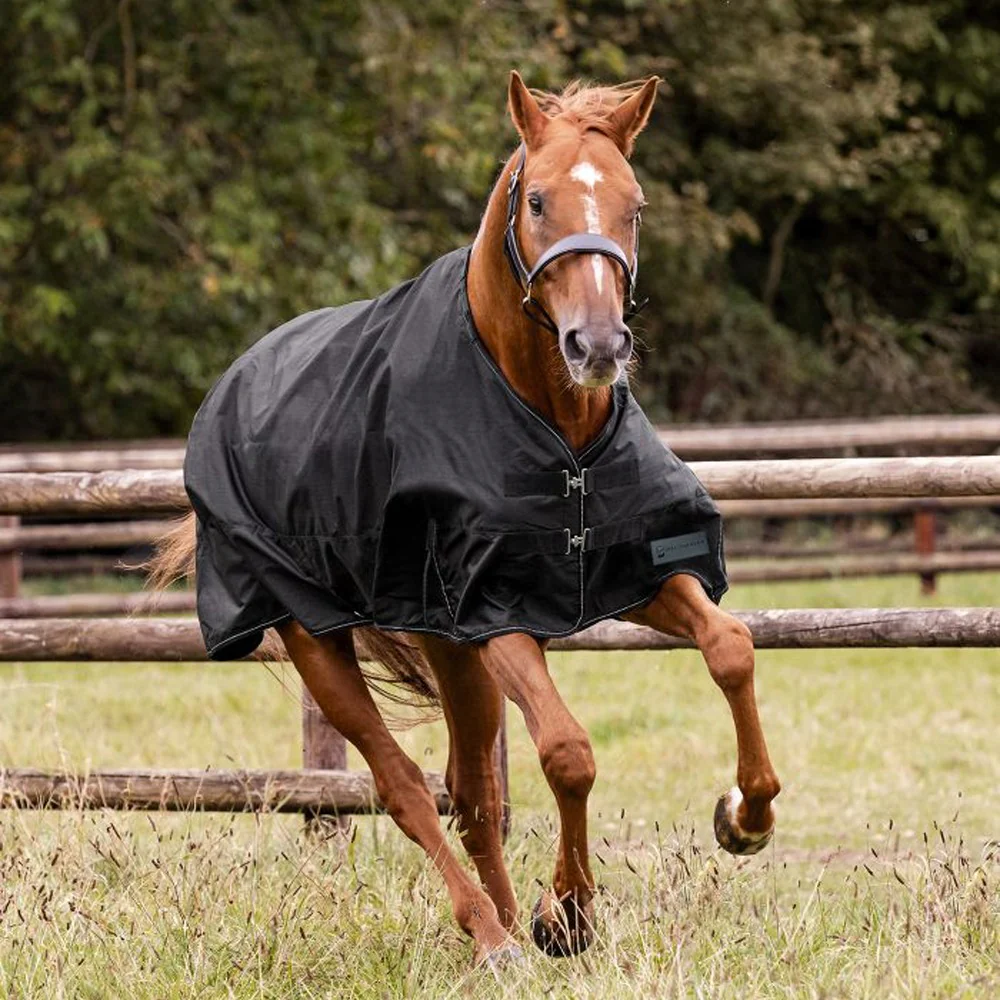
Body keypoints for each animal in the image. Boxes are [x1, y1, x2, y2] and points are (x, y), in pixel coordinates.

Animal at [149, 72, 781, 967]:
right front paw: (572, 912)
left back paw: (512, 927)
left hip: (449, 651)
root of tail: (232, 385)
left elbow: (730, 647)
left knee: (472, 790)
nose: (597, 346)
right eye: (539, 200)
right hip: (321, 642)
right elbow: (568, 752)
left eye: (635, 205)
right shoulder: (496, 613)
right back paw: (491, 932)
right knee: (406, 787)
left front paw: (744, 819)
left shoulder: (637, 573)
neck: (555, 427)